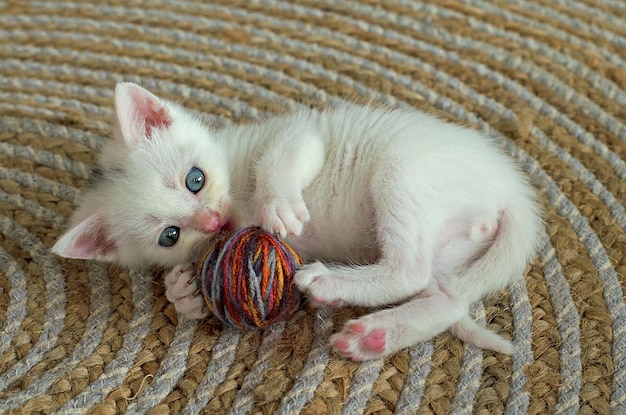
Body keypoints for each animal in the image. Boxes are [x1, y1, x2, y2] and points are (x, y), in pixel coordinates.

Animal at [54, 83, 540, 362]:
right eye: (169, 236)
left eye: (196, 179)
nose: (213, 222)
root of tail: (513, 189)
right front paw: (183, 290)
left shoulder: (296, 134)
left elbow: (284, 155)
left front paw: (278, 205)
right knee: (446, 296)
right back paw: (375, 336)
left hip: (401, 169)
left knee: (411, 270)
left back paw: (333, 286)